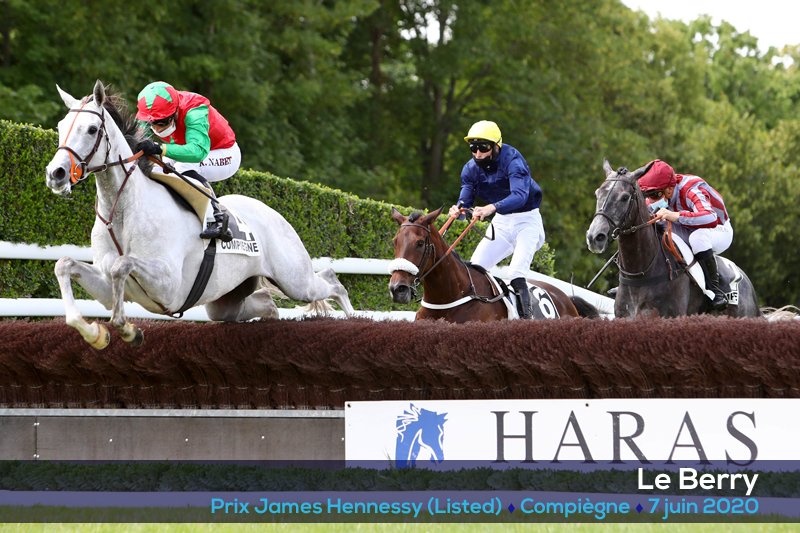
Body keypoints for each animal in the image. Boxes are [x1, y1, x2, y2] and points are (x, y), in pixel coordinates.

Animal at [44, 80, 354, 349]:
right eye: (60, 127)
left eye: (92, 129)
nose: (55, 174)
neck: (122, 212)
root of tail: (274, 214)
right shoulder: (107, 285)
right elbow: (65, 265)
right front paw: (96, 334)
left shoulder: (169, 287)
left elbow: (122, 265)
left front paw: (128, 330)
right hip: (227, 300)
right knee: (267, 301)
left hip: (295, 279)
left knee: (331, 281)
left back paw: (354, 318)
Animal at [585, 160, 760, 318]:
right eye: (597, 193)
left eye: (624, 197)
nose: (595, 237)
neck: (641, 273)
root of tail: (748, 284)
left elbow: (707, 213)